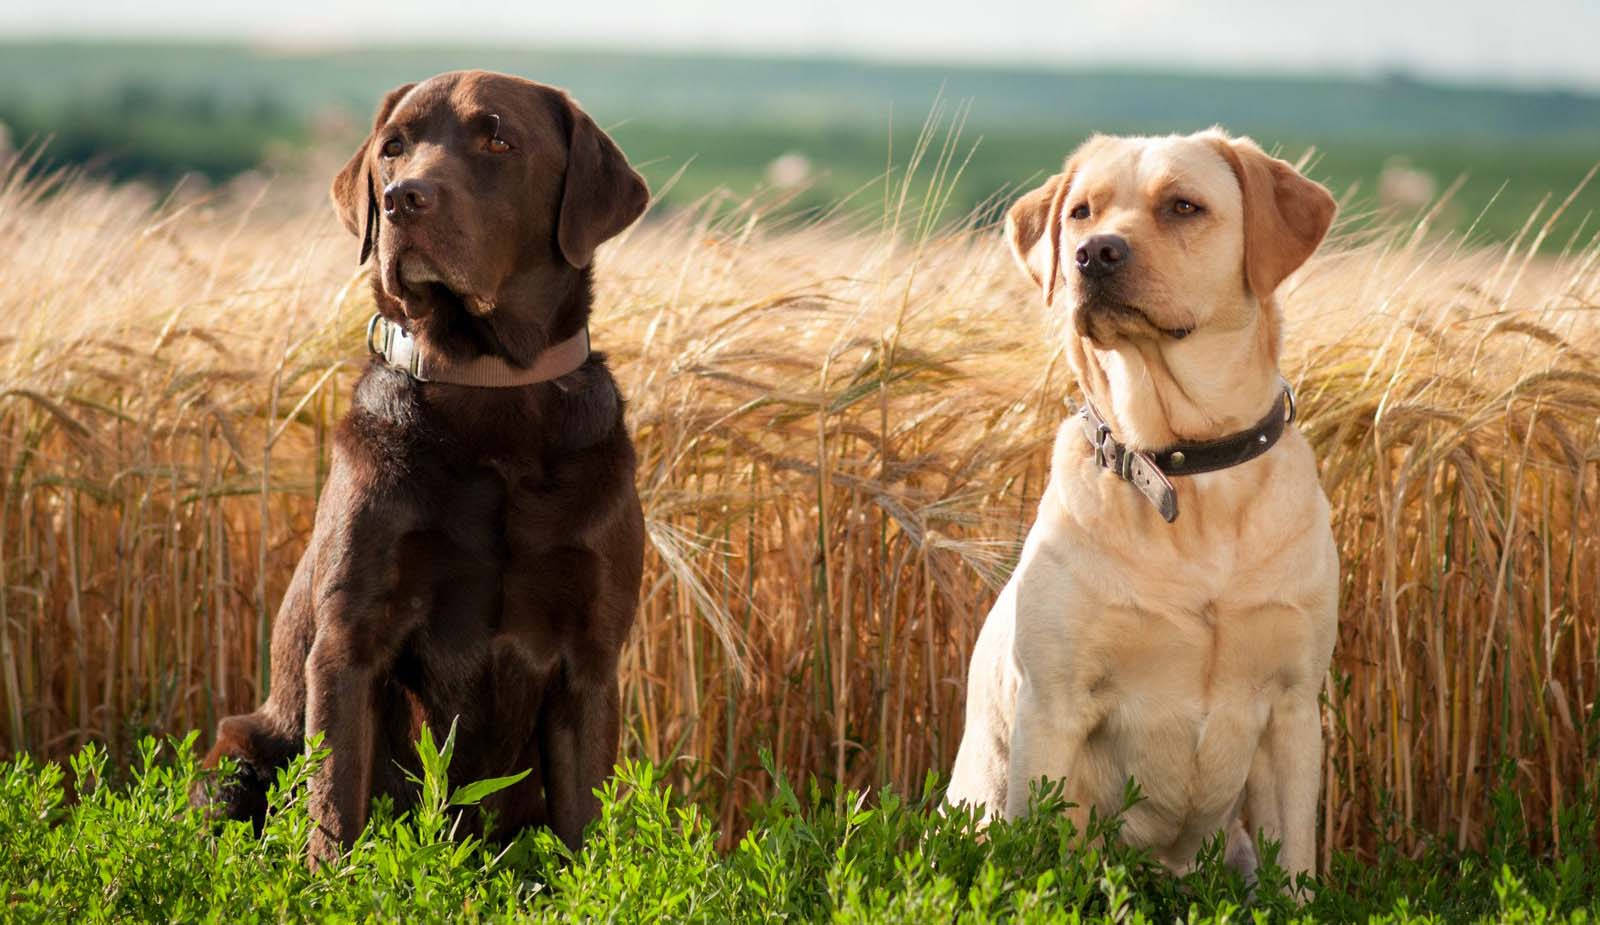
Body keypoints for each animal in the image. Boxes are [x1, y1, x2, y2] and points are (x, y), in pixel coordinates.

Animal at [201, 70, 649, 857]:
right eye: (393, 147)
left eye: (499, 140)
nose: (401, 199)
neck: (489, 388)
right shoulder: (348, 643)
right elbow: (335, 812)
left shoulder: (591, 659)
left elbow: (583, 832)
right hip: (240, 751)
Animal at [947, 126, 1337, 876]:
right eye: (1081, 212)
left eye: (1183, 206)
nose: (1094, 253)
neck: (1184, 469)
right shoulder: (1054, 707)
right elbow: (1043, 868)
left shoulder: (1294, 713)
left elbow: (1298, 872)